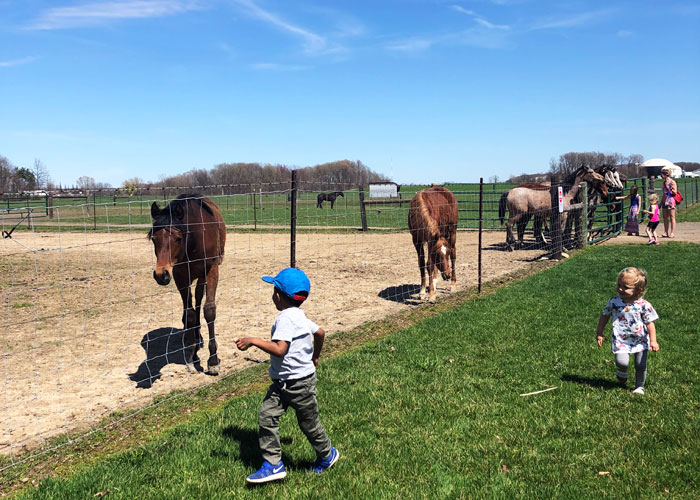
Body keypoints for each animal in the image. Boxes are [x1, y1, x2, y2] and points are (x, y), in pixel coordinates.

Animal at [148, 194, 226, 375]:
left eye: (178, 238)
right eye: (154, 239)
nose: (161, 275)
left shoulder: (211, 270)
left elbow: (209, 310)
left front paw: (213, 361)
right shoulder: (180, 275)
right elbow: (190, 314)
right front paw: (191, 355)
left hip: (201, 276)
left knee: (198, 300)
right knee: (189, 308)